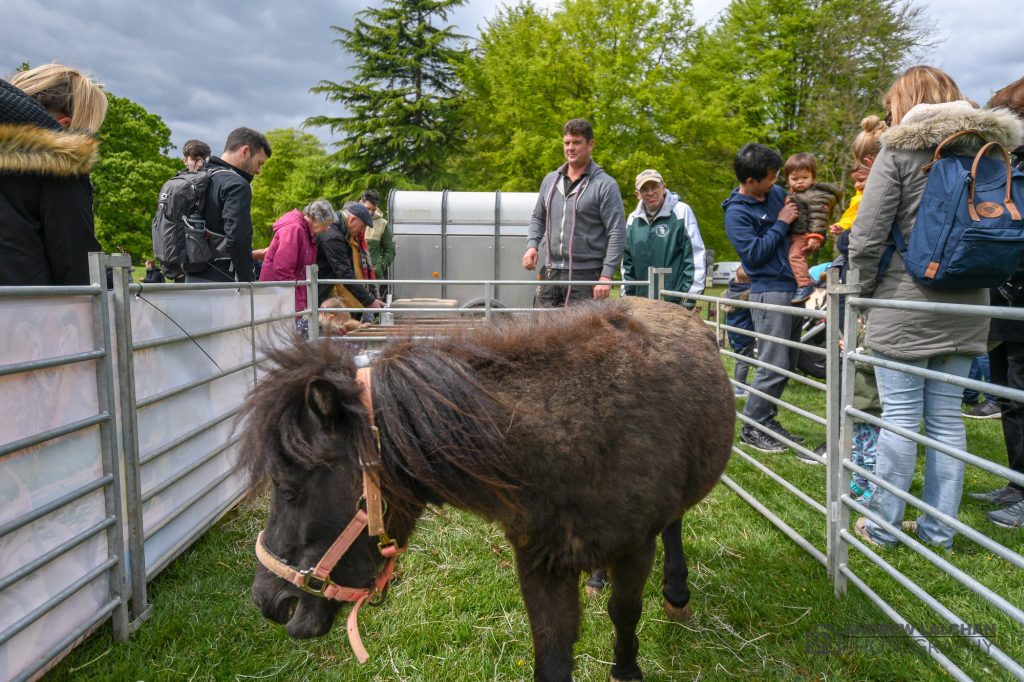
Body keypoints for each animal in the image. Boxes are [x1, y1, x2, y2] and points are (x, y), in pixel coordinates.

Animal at [247, 296, 737, 679]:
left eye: (288, 489)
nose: (267, 601)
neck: (585, 434)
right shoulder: (540, 562)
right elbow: (552, 648)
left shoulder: (636, 548)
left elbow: (625, 612)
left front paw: (627, 669)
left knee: (674, 526)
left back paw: (676, 593)